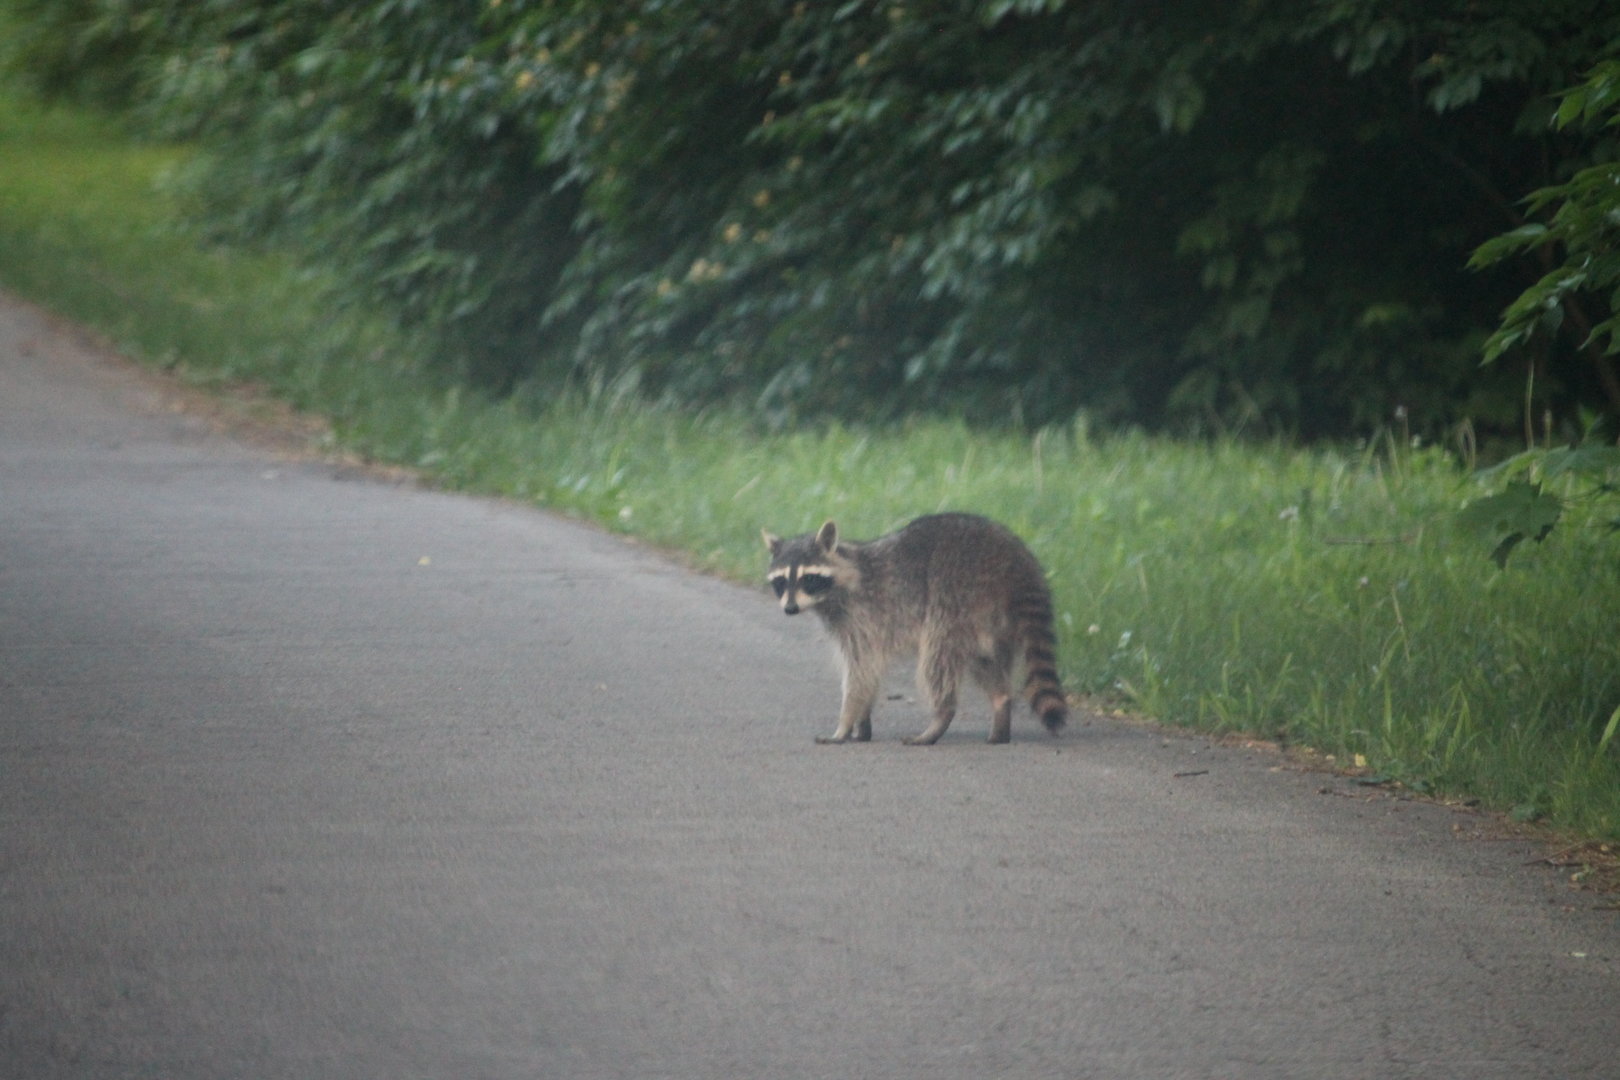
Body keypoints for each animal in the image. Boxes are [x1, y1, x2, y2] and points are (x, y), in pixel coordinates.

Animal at [761, 512, 1068, 745]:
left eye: (808, 579)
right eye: (781, 581)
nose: (790, 609)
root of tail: (1016, 559)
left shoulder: (862, 618)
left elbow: (860, 672)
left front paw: (845, 724)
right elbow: (867, 674)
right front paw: (861, 722)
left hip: (958, 592)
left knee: (938, 655)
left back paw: (941, 716)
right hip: (993, 619)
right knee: (985, 661)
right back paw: (1000, 705)